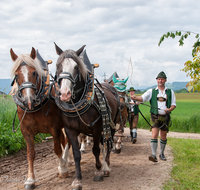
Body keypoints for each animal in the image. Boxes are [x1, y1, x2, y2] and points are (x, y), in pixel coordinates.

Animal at [10, 47, 71, 190]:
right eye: (16, 75)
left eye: (34, 73)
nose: (29, 100)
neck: (35, 107)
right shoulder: (26, 131)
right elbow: (30, 154)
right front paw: (30, 180)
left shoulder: (54, 128)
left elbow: (57, 149)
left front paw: (62, 170)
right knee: (64, 141)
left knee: (67, 143)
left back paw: (65, 163)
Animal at [53, 43, 120, 190]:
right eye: (58, 65)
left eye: (76, 66)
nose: (65, 94)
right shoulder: (70, 130)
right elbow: (77, 154)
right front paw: (77, 179)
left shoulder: (96, 129)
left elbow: (96, 150)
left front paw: (99, 170)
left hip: (112, 124)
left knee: (108, 143)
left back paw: (106, 166)